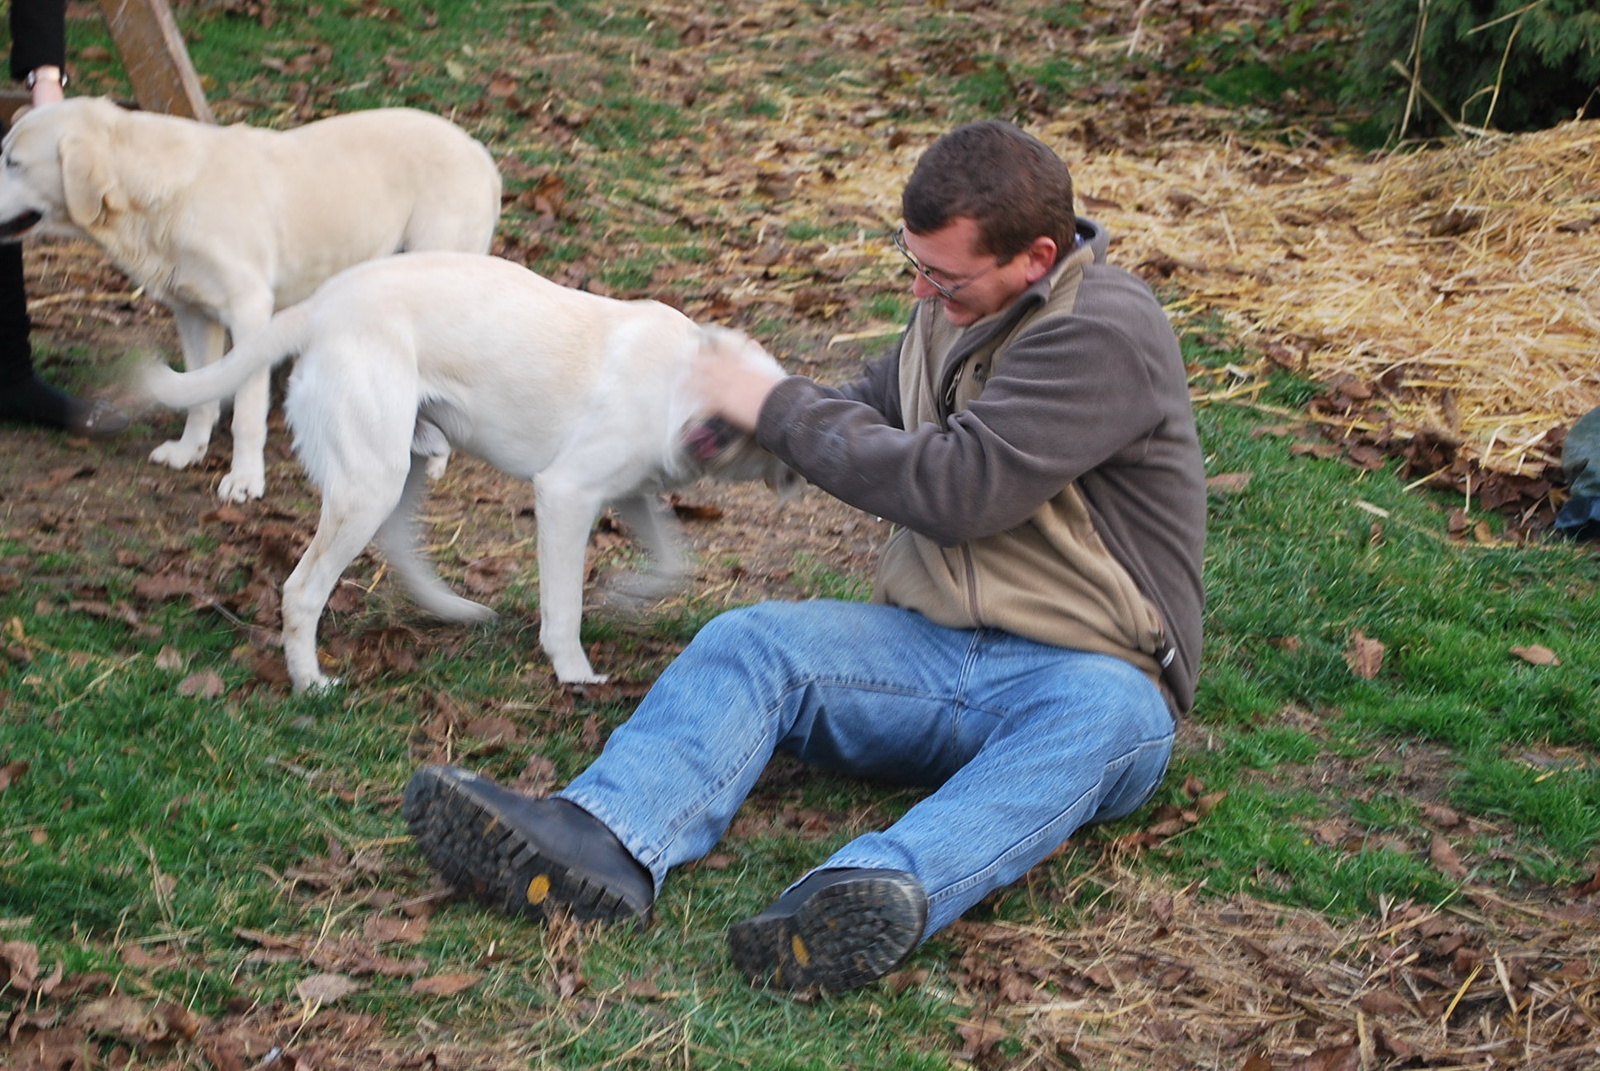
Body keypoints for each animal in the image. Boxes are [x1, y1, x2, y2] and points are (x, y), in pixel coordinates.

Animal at [0, 98, 499, 499]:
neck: (159, 194)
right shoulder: (192, 314)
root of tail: (478, 151)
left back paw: (436, 458)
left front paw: (244, 481)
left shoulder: (251, 314)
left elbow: (246, 413)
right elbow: (200, 393)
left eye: (13, 162)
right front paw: (189, 450)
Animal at [134, 251, 796, 688]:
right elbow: (565, 610)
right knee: (302, 591)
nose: (702, 437)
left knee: (400, 548)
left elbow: (671, 563)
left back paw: (455, 611)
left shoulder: (628, 493)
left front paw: (626, 592)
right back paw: (311, 683)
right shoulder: (566, 495)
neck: (679, 380)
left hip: (403, 470)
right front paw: (576, 675)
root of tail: (325, 305)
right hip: (371, 485)